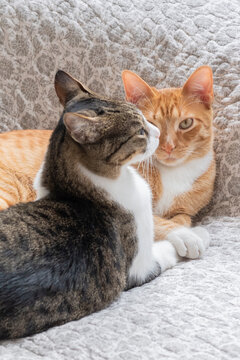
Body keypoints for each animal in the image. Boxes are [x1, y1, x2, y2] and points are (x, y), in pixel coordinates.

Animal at [122, 66, 216, 258]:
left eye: (186, 123)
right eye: (150, 124)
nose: (168, 146)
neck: (173, 172)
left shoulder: (185, 211)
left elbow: (183, 218)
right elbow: (153, 220)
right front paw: (186, 236)